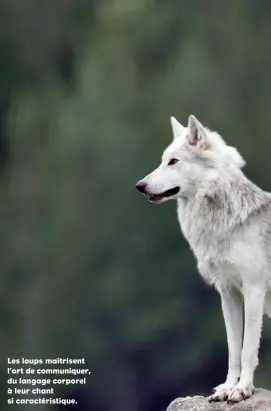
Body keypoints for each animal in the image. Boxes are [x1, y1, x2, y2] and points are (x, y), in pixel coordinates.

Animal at [136, 114, 271, 404]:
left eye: (174, 161)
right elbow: (233, 351)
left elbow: (247, 350)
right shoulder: (228, 294)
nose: (139, 186)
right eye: (163, 160)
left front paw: (242, 389)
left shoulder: (253, 291)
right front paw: (227, 387)